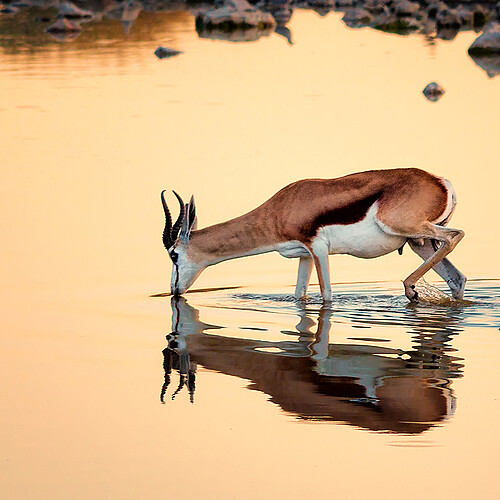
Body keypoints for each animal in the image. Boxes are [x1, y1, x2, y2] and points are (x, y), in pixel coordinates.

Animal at [162, 168, 466, 300]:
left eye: (174, 255)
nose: (173, 290)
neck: (281, 208)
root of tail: (441, 182)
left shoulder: (318, 249)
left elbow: (327, 295)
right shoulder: (304, 255)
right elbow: (299, 295)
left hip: (410, 230)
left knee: (455, 235)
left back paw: (409, 288)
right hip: (419, 243)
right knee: (457, 278)